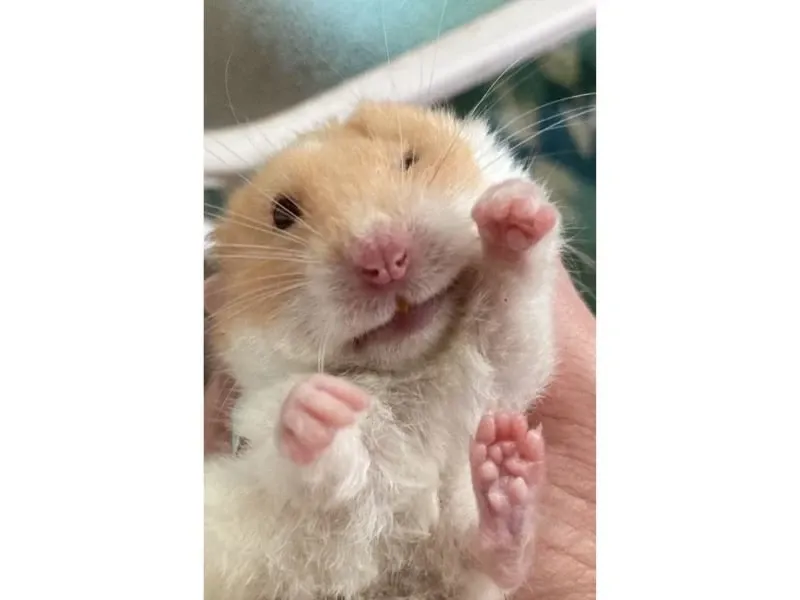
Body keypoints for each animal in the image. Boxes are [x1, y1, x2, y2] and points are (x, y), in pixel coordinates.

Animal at [205, 101, 562, 600]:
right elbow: (313, 466)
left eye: (410, 160)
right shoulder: (259, 433)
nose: (384, 258)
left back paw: (508, 468)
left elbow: (514, 315)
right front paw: (317, 405)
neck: (407, 369)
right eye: (283, 214)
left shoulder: (497, 365)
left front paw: (512, 208)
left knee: (482, 552)